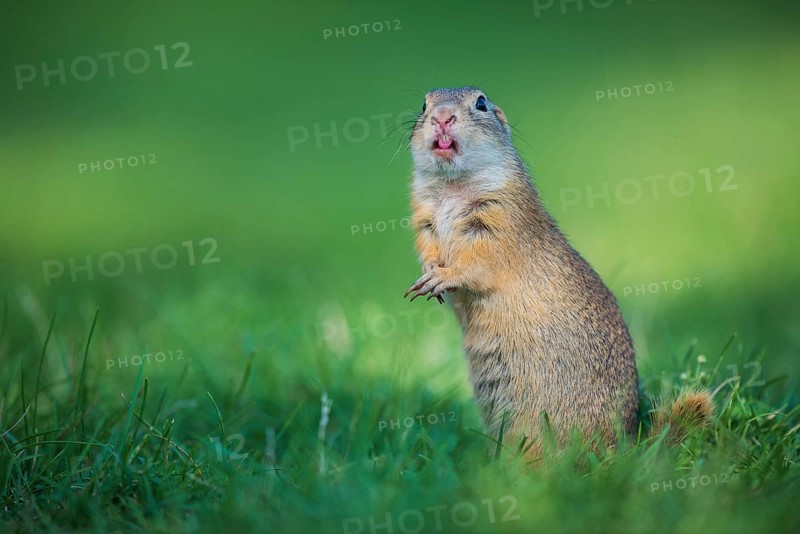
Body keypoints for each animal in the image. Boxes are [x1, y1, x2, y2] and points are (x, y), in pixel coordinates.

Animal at [403, 86, 713, 456]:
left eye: (481, 103)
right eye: (424, 104)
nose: (442, 118)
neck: (452, 187)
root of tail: (625, 447)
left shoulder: (501, 221)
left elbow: (479, 262)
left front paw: (441, 277)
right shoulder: (424, 219)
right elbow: (428, 248)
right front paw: (426, 274)